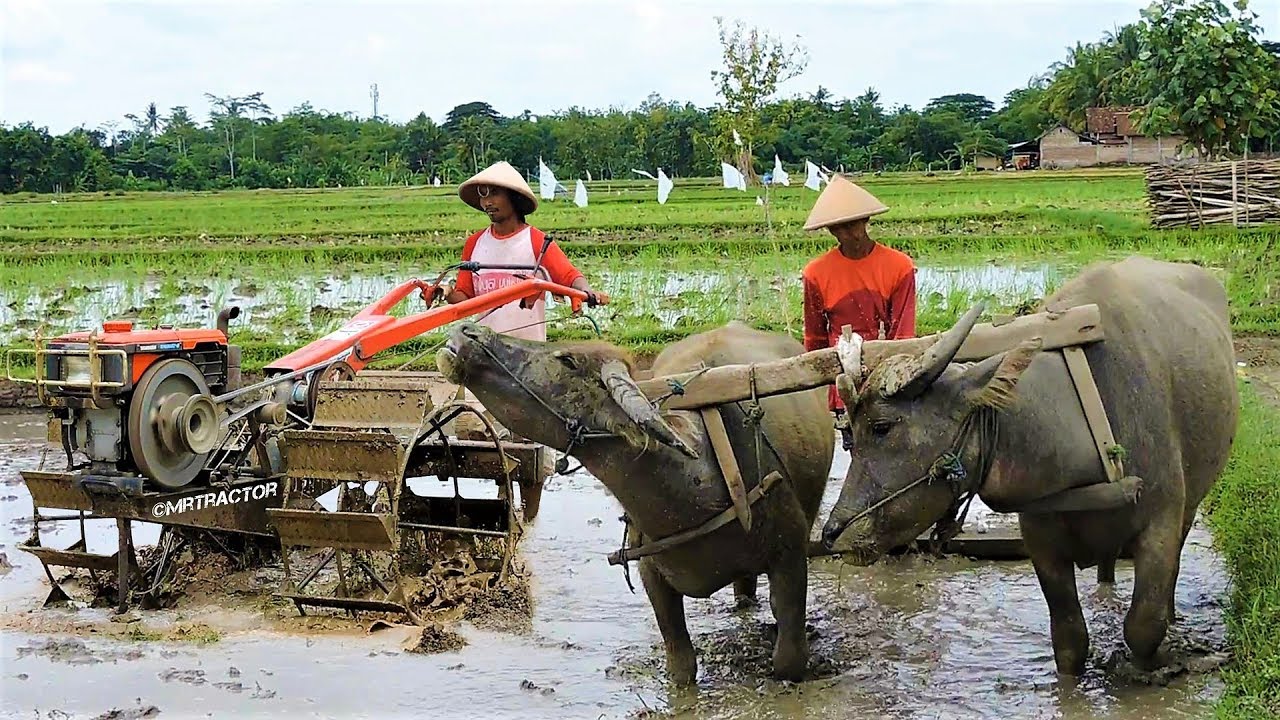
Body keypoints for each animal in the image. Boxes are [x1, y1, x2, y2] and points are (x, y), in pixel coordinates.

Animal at [440, 320, 834, 681]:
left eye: (567, 360)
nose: (468, 330)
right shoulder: (652, 577)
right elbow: (681, 665)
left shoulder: (791, 555)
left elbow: (788, 660)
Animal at [824, 257, 1233, 671]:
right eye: (851, 433)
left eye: (882, 426)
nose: (833, 532)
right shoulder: (1041, 538)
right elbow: (1069, 639)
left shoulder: (1161, 522)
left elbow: (1144, 625)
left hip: (1191, 505)